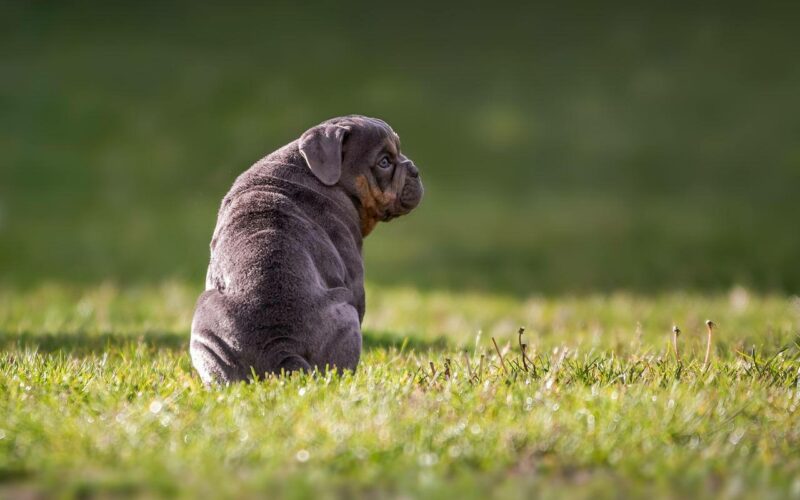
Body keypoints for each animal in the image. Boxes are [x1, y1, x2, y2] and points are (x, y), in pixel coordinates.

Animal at [190, 116, 422, 382]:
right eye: (384, 162)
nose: (415, 170)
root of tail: (280, 345)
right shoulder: (355, 280)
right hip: (347, 313)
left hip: (205, 331)